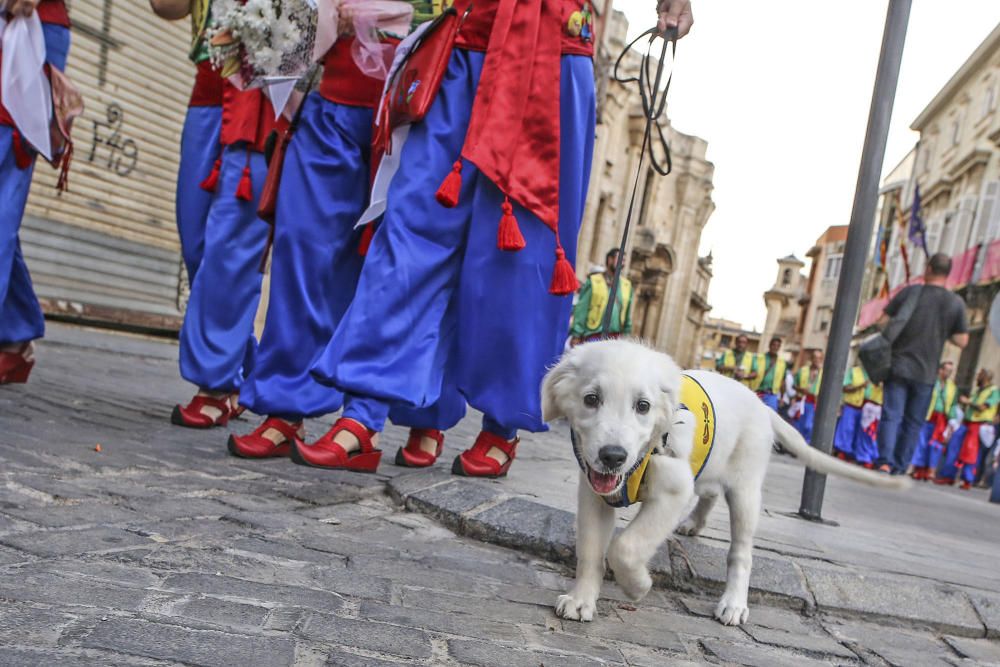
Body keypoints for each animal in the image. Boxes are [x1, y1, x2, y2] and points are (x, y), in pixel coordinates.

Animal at [544, 340, 912, 628]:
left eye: (643, 406)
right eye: (591, 399)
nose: (613, 456)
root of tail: (762, 404)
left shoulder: (674, 490)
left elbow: (626, 547)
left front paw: (637, 586)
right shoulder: (594, 493)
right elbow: (591, 551)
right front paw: (581, 600)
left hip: (746, 491)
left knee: (741, 553)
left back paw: (734, 603)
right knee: (709, 493)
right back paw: (693, 524)